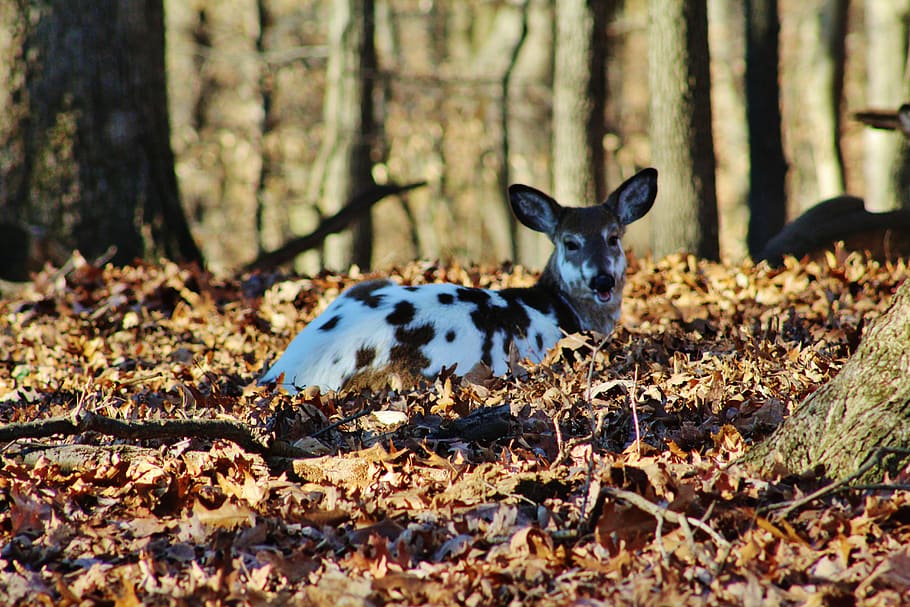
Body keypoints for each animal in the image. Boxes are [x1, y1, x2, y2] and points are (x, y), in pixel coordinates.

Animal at [260, 169, 660, 392]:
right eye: (570, 242)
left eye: (613, 237)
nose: (602, 279)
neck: (563, 308)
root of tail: (286, 370)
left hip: (365, 286)